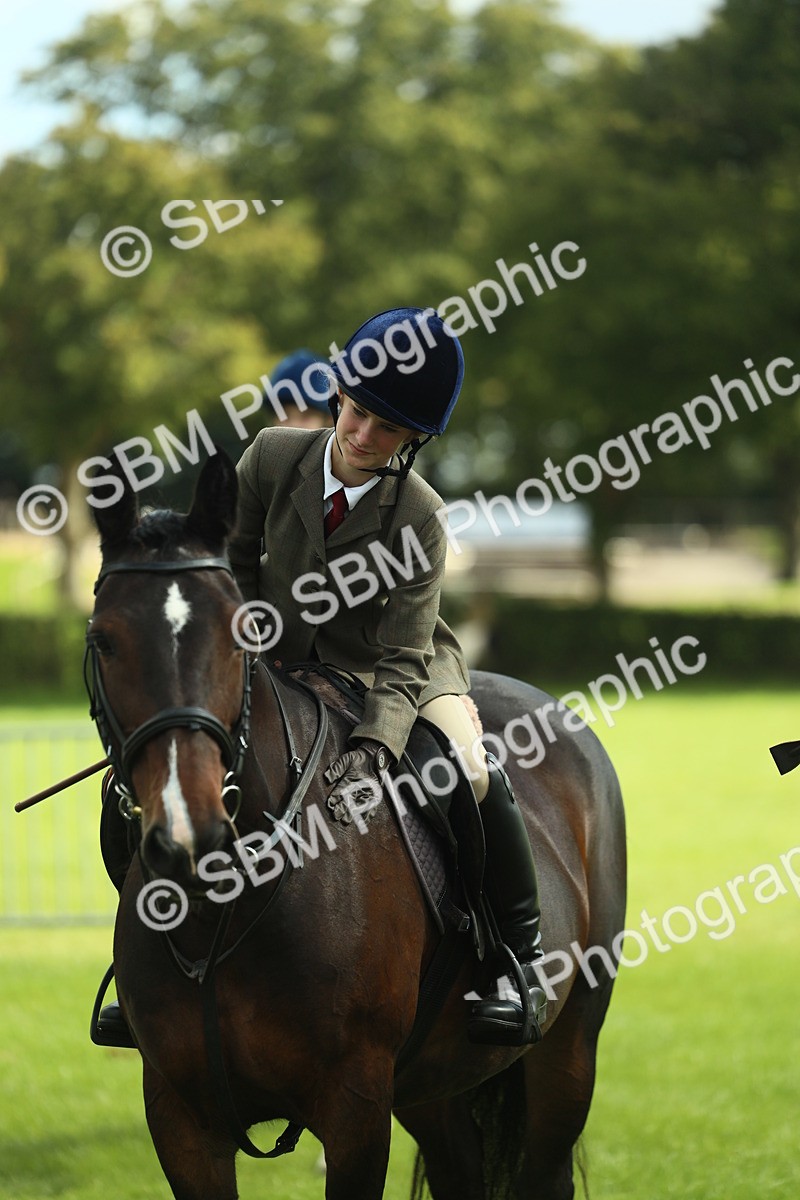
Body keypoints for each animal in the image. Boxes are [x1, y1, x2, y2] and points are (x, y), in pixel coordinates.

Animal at [86, 449, 626, 1200]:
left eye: (239, 635)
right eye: (103, 641)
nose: (190, 838)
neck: (228, 906)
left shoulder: (356, 1110)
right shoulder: (179, 1115)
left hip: (566, 1053)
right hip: (431, 1084)